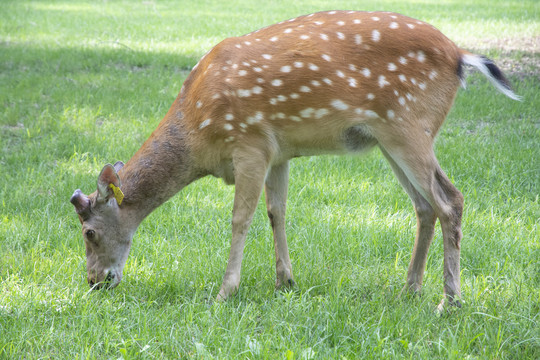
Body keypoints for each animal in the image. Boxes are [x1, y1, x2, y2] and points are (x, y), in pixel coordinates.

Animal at [70, 9, 520, 310]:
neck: (199, 133)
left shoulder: (250, 142)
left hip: (408, 125)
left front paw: (225, 291)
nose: (94, 281)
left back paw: (449, 301)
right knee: (425, 205)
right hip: (391, 138)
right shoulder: (279, 151)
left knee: (450, 200)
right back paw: (410, 289)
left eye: (89, 232)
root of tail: (462, 56)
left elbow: (241, 217)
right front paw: (285, 281)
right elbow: (277, 211)